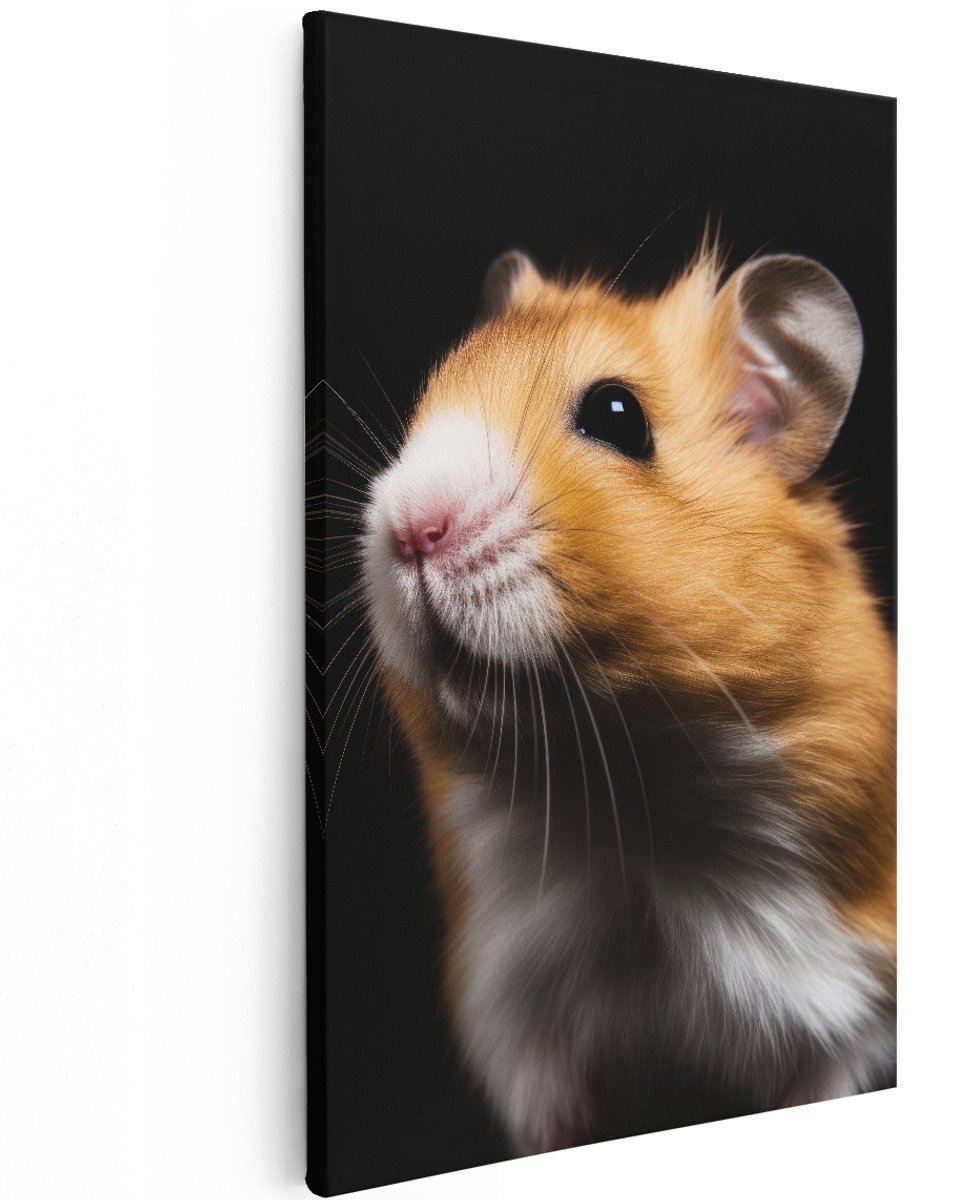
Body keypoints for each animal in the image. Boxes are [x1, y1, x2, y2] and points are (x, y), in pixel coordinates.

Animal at [359, 241, 896, 1154]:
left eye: (617, 416)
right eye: (435, 390)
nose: (410, 530)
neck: (620, 792)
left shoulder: (850, 991)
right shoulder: (514, 1018)